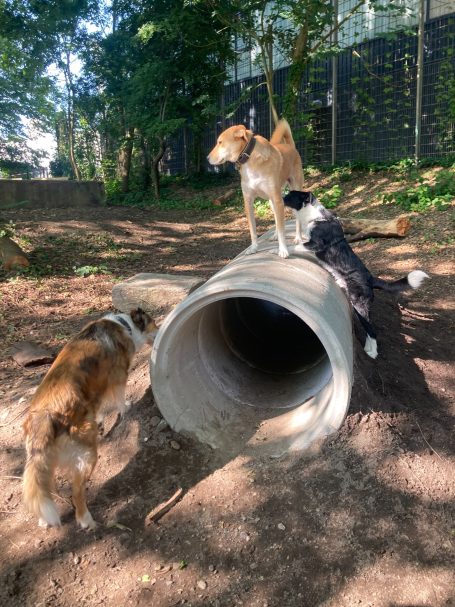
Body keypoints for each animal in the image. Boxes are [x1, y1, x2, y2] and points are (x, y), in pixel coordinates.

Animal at [22, 308, 158, 529]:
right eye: (153, 323)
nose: (160, 328)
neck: (124, 325)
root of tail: (45, 415)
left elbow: (100, 407)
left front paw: (102, 419)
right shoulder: (118, 376)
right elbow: (120, 398)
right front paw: (126, 407)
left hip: (42, 463)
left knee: (42, 488)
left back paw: (44, 519)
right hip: (87, 455)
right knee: (76, 493)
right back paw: (86, 520)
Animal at [207, 119, 303, 258]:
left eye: (220, 142)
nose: (207, 158)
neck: (250, 160)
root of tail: (291, 147)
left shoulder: (277, 200)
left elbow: (282, 230)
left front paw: (283, 250)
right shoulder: (249, 201)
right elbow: (253, 229)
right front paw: (253, 248)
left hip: (291, 192)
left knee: (294, 220)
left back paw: (298, 238)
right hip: (272, 202)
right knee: (277, 220)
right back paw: (274, 235)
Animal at [283, 190, 429, 358]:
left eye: (291, 195)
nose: (281, 196)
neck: (316, 217)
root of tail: (371, 279)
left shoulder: (316, 244)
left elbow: (295, 246)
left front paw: (280, 250)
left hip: (359, 305)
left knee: (372, 331)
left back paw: (372, 353)